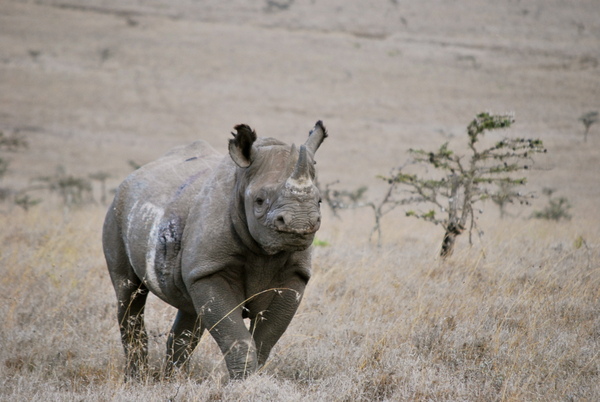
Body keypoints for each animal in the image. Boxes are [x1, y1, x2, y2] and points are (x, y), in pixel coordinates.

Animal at [103, 121, 328, 380]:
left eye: (319, 201)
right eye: (260, 201)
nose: (300, 224)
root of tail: (132, 177)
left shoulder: (295, 275)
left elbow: (265, 339)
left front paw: (251, 380)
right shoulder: (210, 270)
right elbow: (237, 338)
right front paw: (243, 383)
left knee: (189, 308)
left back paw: (174, 380)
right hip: (117, 211)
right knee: (128, 292)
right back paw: (136, 379)